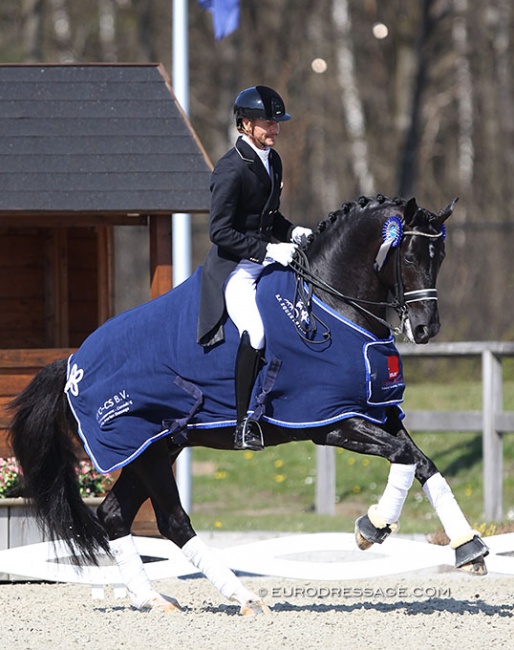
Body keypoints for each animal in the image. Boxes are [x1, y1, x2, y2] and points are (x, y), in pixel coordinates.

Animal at [9, 192, 488, 612]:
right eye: (408, 257)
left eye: (440, 258)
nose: (426, 329)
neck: (330, 303)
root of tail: (73, 363)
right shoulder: (333, 423)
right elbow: (405, 456)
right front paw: (373, 527)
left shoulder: (378, 412)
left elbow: (422, 461)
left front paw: (469, 549)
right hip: (145, 448)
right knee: (172, 521)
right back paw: (244, 598)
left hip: (155, 449)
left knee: (114, 515)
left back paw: (153, 600)